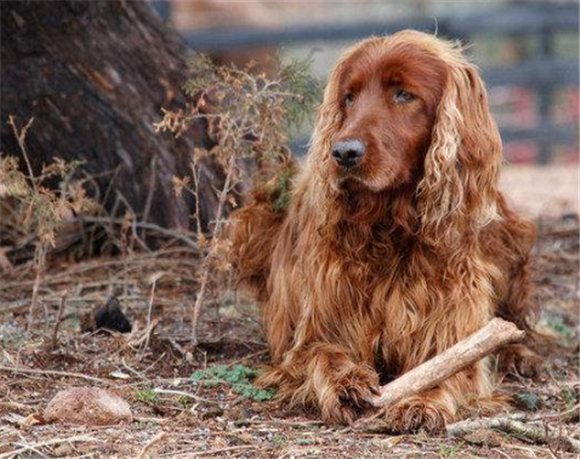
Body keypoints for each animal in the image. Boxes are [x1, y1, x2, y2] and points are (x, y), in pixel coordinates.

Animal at [230, 30, 540, 434]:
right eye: (349, 97)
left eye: (404, 95)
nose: (343, 153)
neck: (391, 228)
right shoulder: (314, 333)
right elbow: (321, 354)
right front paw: (346, 384)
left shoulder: (451, 329)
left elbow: (447, 366)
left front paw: (423, 400)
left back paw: (521, 354)